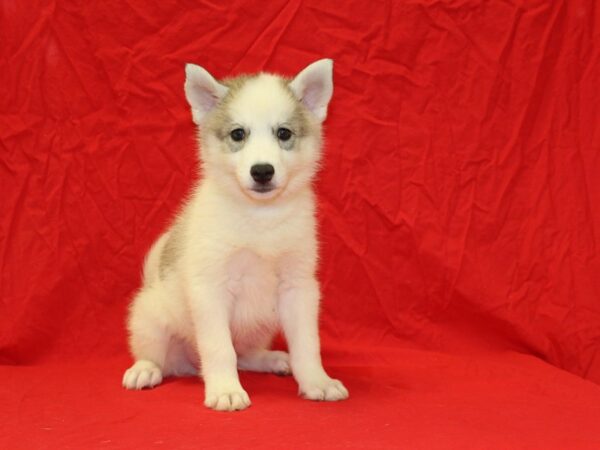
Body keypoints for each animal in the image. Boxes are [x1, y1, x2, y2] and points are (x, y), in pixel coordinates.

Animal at [120, 58, 346, 410]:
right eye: (238, 133)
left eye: (284, 133)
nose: (262, 171)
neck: (260, 218)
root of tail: (188, 365)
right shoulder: (210, 289)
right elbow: (219, 349)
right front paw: (226, 390)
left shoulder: (299, 288)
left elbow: (308, 345)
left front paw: (316, 381)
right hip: (150, 318)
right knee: (157, 354)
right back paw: (146, 369)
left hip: (259, 327)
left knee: (245, 355)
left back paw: (272, 360)